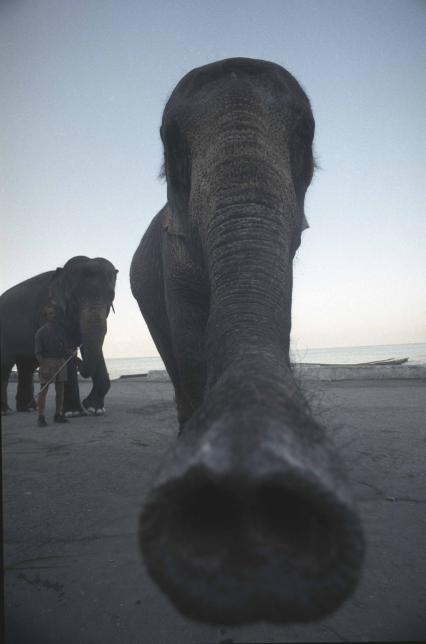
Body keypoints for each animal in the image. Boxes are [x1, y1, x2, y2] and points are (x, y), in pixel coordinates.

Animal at [0, 254, 117, 416]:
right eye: (73, 302)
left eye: (111, 298)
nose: (77, 357)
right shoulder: (48, 310)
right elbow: (62, 347)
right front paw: (73, 412)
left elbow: (92, 348)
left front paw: (94, 408)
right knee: (6, 365)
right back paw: (6, 411)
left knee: (27, 367)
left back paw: (29, 408)